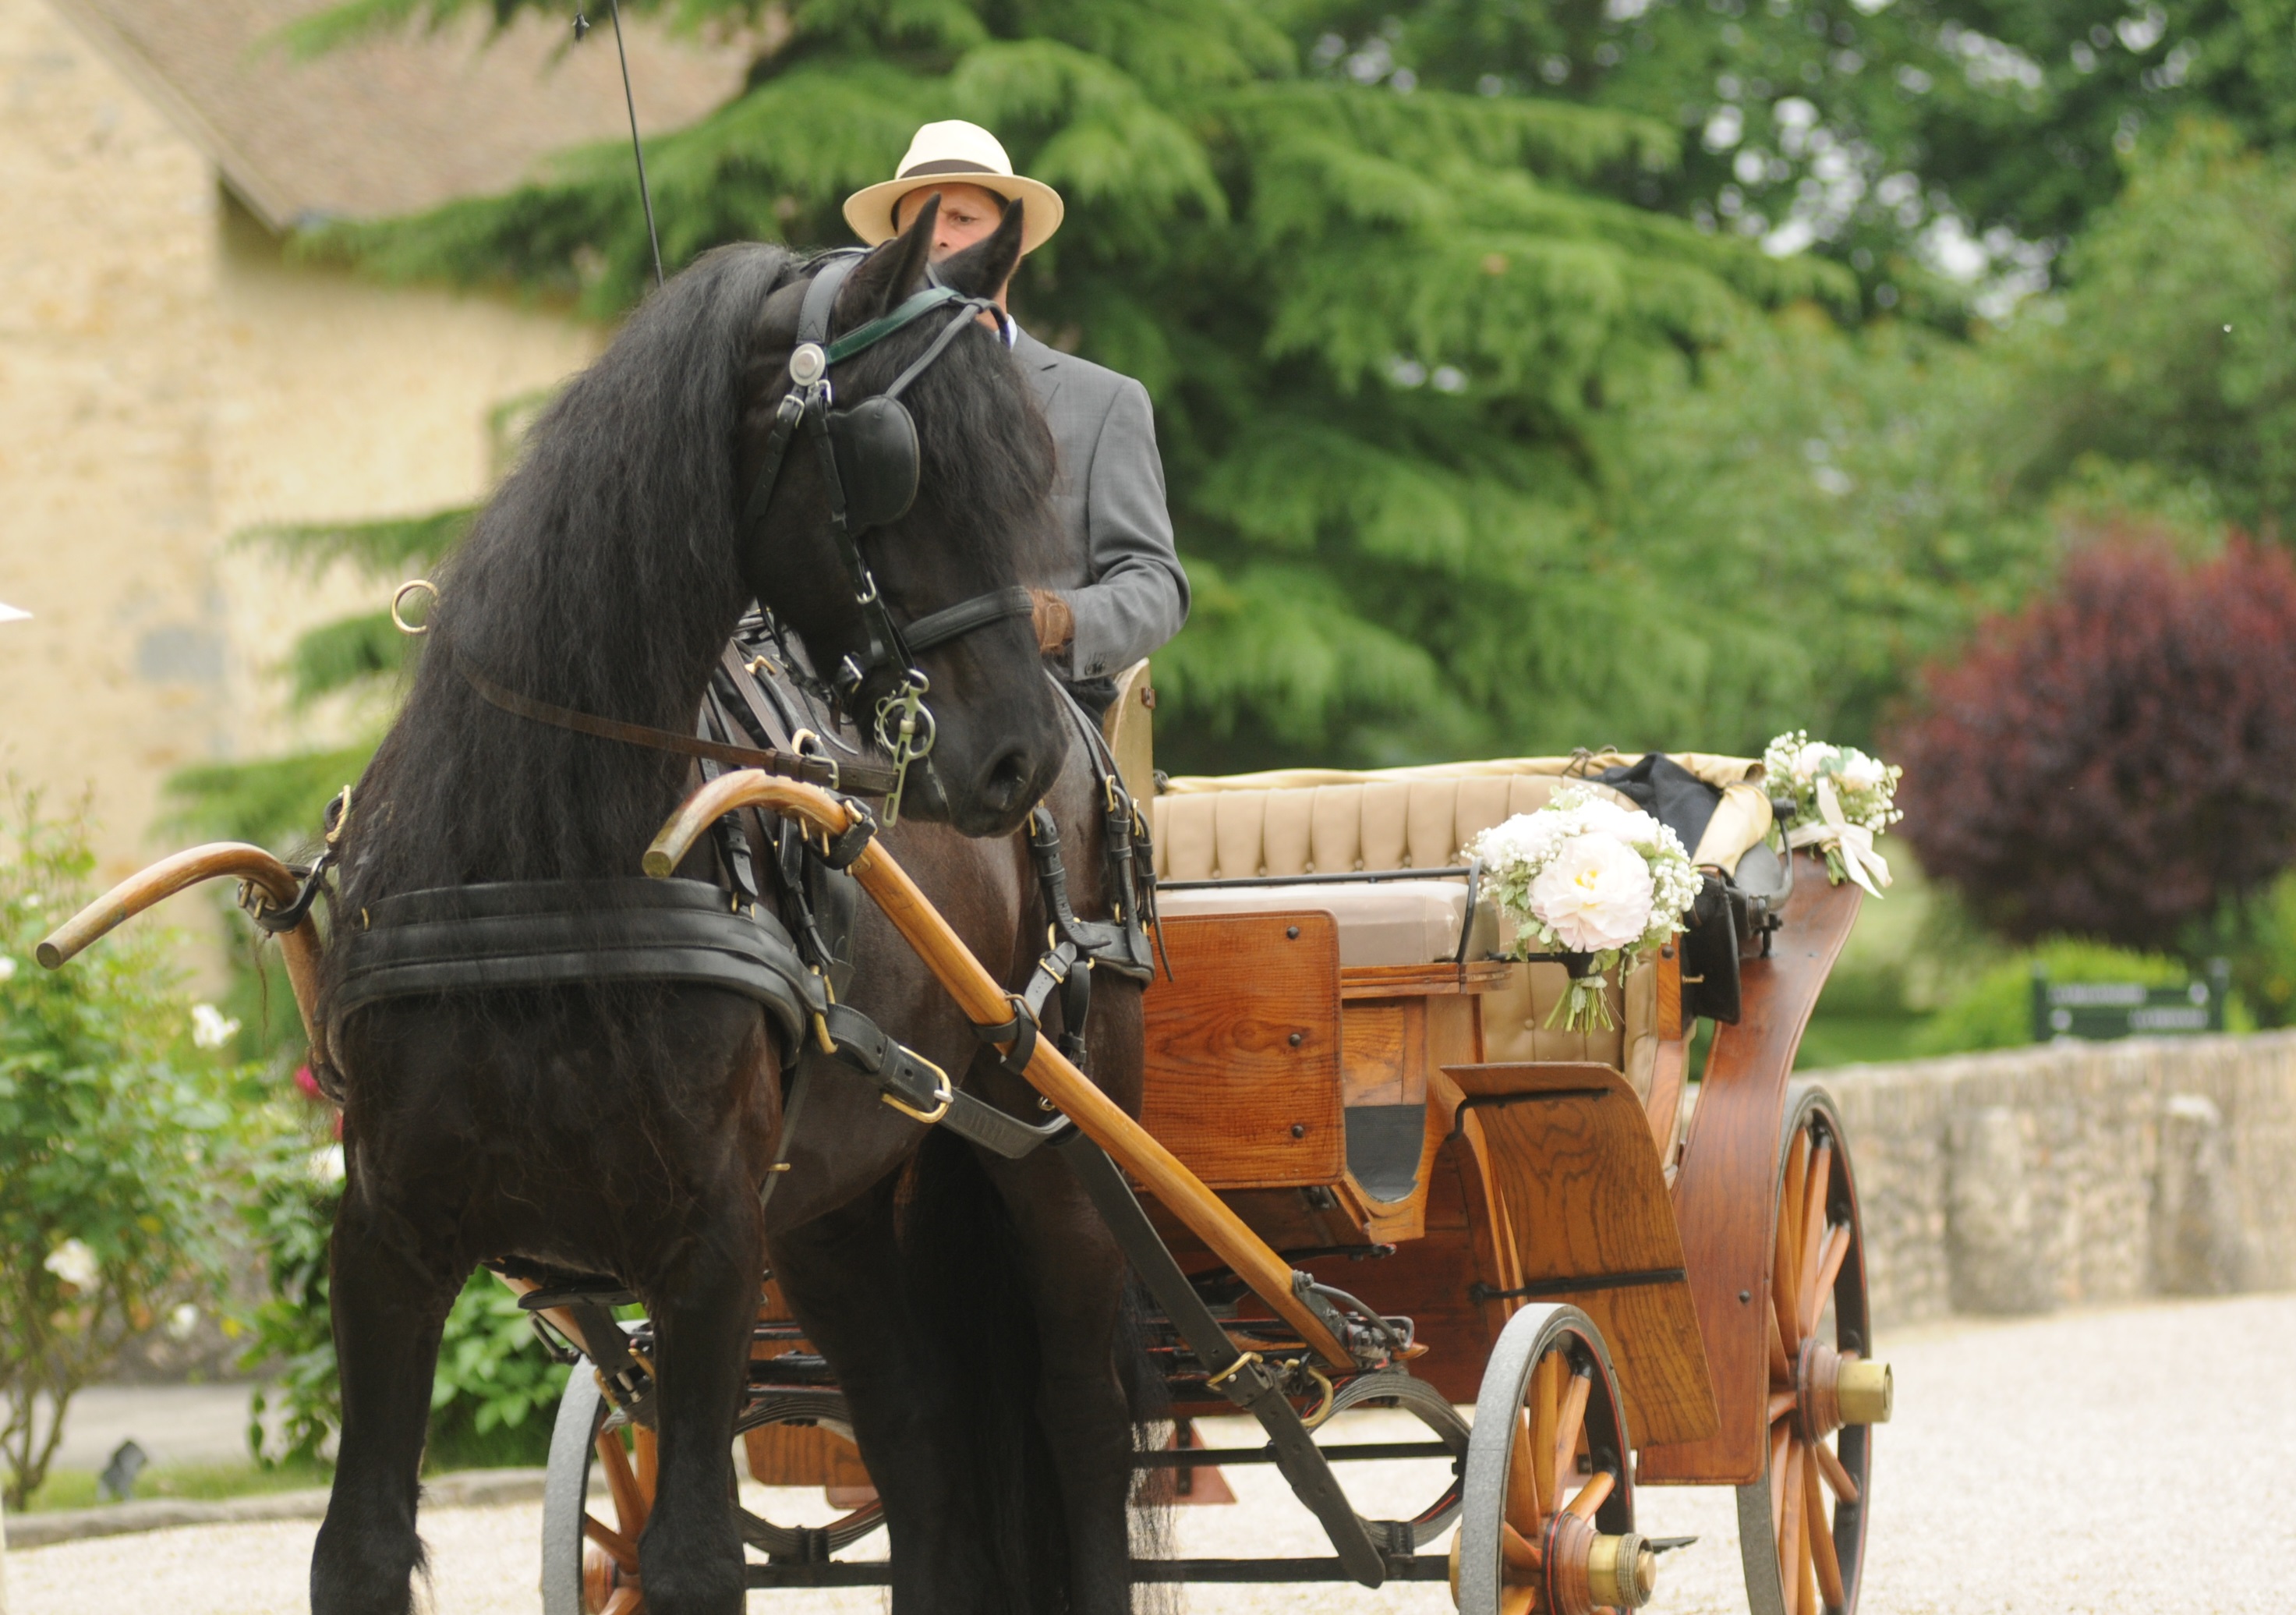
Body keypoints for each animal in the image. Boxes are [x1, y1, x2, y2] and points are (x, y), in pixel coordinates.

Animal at [312, 205, 1129, 1615]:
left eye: (1025, 462)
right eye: (898, 462)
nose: (1013, 755)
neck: (542, 863)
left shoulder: (705, 1249)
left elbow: (692, 1555)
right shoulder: (388, 1240)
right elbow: (357, 1548)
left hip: (1056, 1152)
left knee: (1087, 1422)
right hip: (836, 1202)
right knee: (922, 1433)